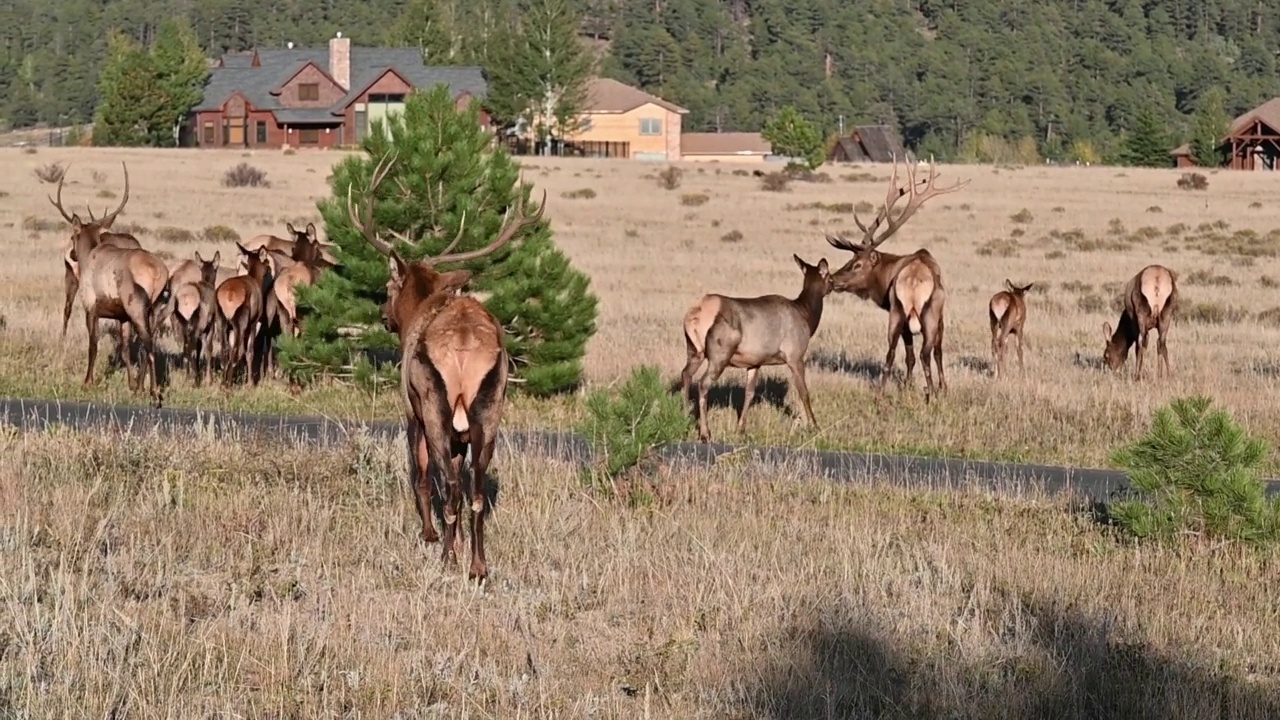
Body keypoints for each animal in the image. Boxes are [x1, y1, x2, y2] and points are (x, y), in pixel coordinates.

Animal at [51, 165, 172, 407]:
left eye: (73, 236)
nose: (71, 255)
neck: (90, 254)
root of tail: (158, 272)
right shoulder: (121, 317)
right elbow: (124, 349)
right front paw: (131, 385)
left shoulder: (91, 306)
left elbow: (93, 343)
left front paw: (88, 380)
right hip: (154, 309)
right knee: (148, 343)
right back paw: (143, 389)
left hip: (137, 306)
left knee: (148, 345)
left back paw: (154, 394)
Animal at [215, 240, 272, 386]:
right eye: (266, 262)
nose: (268, 266)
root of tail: (229, 292)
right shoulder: (253, 325)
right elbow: (249, 352)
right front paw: (250, 383)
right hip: (239, 327)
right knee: (236, 351)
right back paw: (228, 385)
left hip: (223, 325)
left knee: (225, 352)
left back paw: (223, 383)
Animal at [345, 152, 545, 584]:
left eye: (389, 287)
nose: (383, 314)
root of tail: (467, 344)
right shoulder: (464, 430)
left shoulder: (411, 409)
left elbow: (420, 476)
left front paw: (429, 534)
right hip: (491, 406)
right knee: (476, 488)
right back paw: (478, 566)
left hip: (434, 404)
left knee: (449, 483)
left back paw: (449, 558)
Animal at [680, 252, 839, 443]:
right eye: (830, 277)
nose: (835, 285)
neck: (806, 316)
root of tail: (695, 315)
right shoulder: (795, 355)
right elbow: (804, 392)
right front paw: (815, 426)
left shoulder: (755, 362)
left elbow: (749, 393)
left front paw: (741, 429)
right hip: (720, 353)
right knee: (703, 383)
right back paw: (705, 433)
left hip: (694, 350)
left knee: (686, 374)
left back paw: (684, 418)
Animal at [824, 155, 962, 399]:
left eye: (856, 263)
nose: (832, 279)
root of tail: (914, 280)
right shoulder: (940, 317)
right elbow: (936, 353)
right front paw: (942, 388)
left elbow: (908, 356)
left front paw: (908, 386)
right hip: (928, 313)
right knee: (925, 353)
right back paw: (931, 395)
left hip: (898, 312)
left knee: (891, 353)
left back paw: (881, 393)